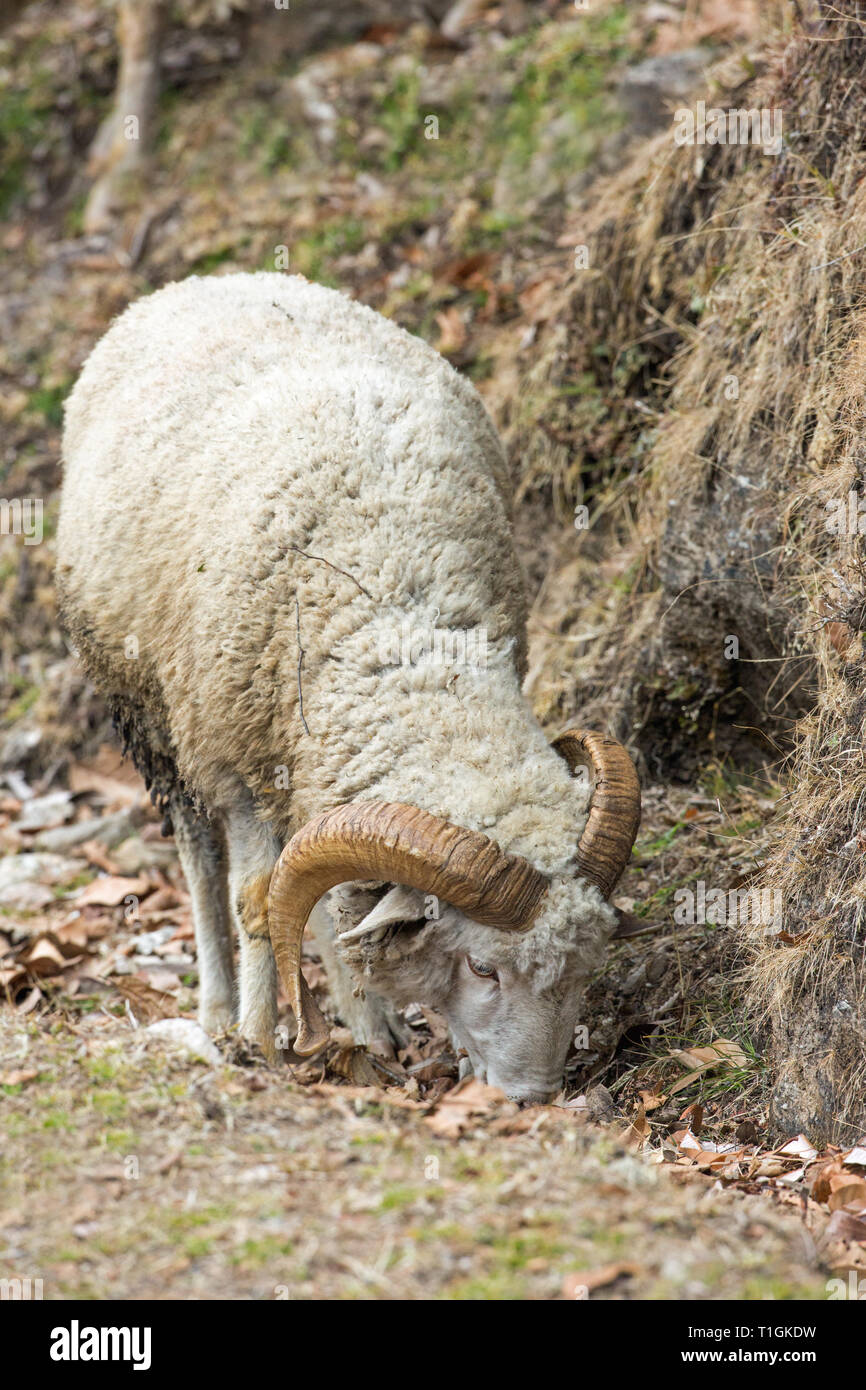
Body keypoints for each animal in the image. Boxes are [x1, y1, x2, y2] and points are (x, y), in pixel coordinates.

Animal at [52, 268, 636, 1095]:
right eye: (483, 968)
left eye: (585, 969)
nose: (532, 1098)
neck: (393, 618)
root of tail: (211, 279)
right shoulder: (235, 762)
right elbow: (257, 901)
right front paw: (261, 1041)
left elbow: (322, 904)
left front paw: (369, 1029)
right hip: (148, 709)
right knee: (201, 863)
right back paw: (218, 1011)